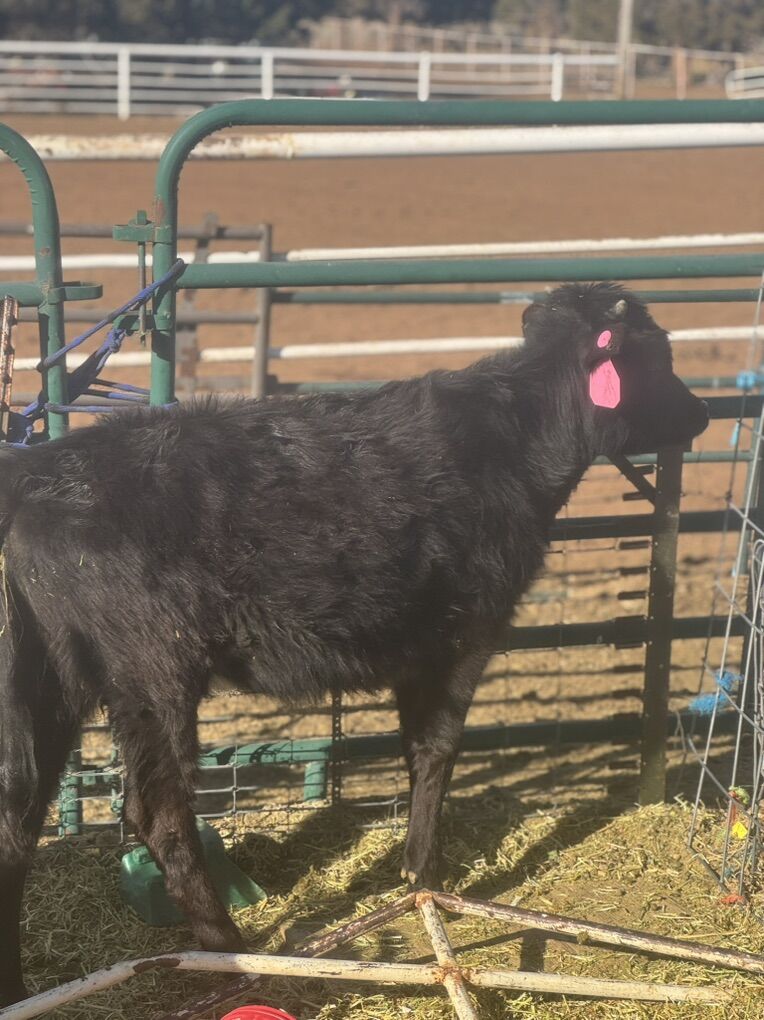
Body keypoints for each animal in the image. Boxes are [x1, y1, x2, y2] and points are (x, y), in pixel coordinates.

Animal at [0, 282, 708, 1004]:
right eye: (659, 354)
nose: (702, 413)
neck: (511, 443)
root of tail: (37, 473)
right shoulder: (463, 638)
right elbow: (437, 750)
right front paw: (423, 871)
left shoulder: (418, 651)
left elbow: (417, 749)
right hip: (151, 670)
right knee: (158, 812)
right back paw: (233, 950)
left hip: (47, 682)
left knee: (17, 819)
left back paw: (17, 982)